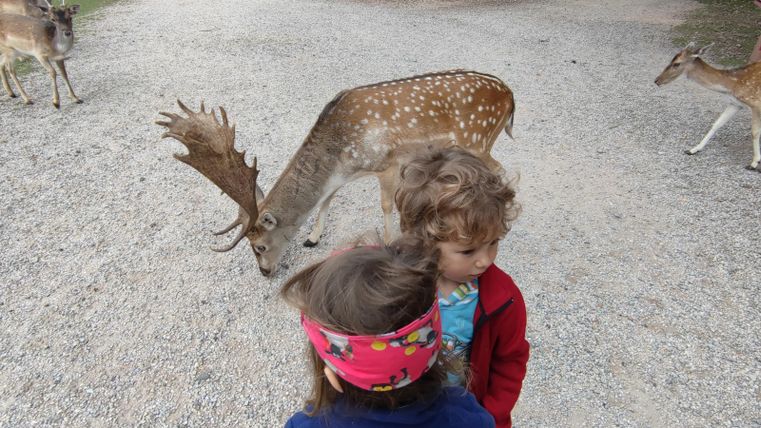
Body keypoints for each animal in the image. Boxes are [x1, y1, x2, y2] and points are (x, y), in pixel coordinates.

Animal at [157, 70, 515, 277]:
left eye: (259, 247)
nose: (264, 273)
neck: (342, 154)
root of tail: (510, 95)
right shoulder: (342, 176)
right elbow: (327, 199)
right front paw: (313, 238)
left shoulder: (388, 163)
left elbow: (387, 205)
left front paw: (390, 243)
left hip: (477, 137)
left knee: (499, 169)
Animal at [655, 43, 761, 171]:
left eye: (677, 63)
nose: (657, 80)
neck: (732, 85)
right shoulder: (735, 103)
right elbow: (717, 124)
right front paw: (693, 149)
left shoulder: (755, 103)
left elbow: (755, 132)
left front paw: (754, 162)